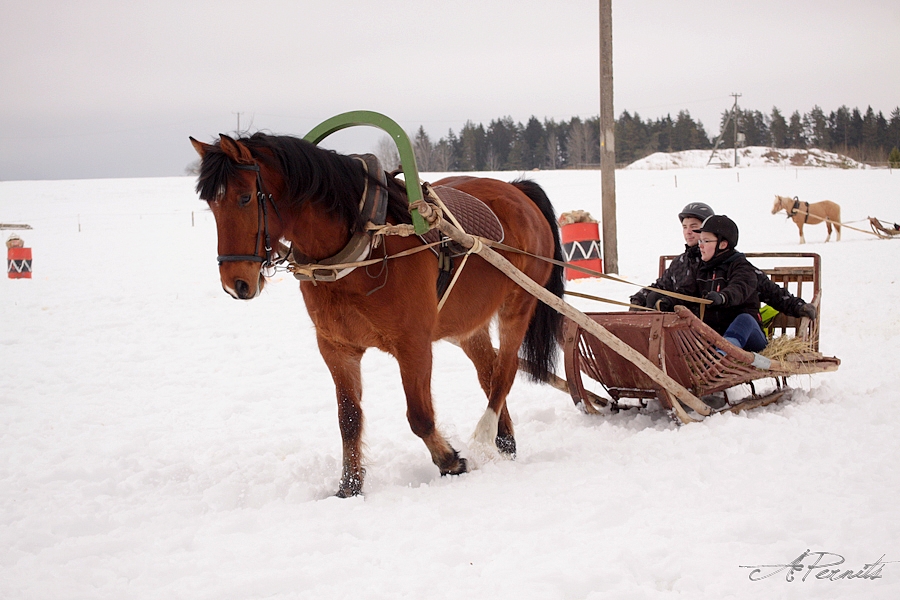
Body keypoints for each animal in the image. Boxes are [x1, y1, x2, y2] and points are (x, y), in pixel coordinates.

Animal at [189, 133, 564, 497]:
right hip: (468, 324)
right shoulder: (336, 347)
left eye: (244, 198)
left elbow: (419, 416)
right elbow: (349, 418)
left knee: (505, 370)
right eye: (211, 205)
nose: (235, 283)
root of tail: (518, 190)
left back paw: (486, 431)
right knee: (488, 371)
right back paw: (505, 440)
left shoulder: (413, 345)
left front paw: (449, 461)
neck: (363, 246)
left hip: (519, 302)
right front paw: (349, 485)